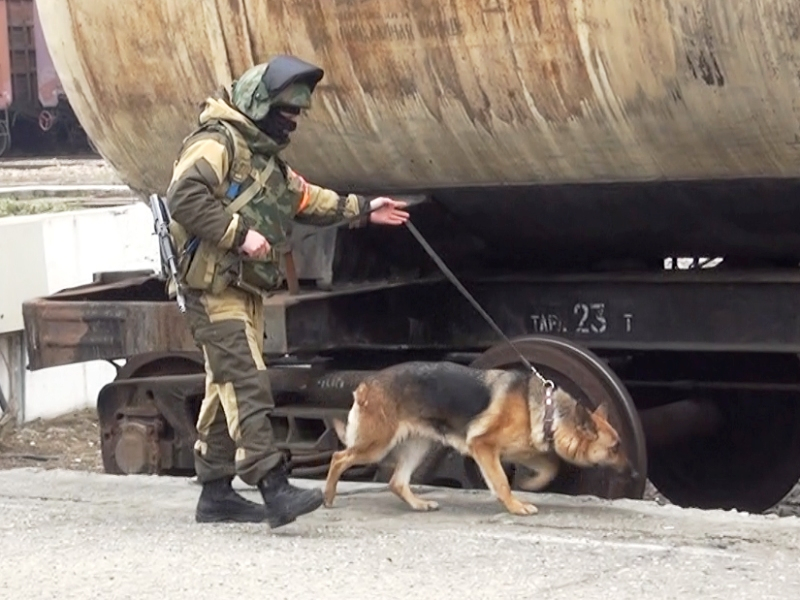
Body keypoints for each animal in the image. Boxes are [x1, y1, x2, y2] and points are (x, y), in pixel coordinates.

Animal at [322, 360, 636, 516]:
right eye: (615, 448)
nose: (634, 474)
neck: (549, 412)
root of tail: (367, 382)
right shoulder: (483, 447)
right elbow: (501, 481)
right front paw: (515, 506)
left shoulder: (522, 452)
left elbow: (551, 466)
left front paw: (530, 484)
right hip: (376, 445)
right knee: (339, 457)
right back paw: (328, 496)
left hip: (419, 445)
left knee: (397, 482)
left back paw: (418, 504)